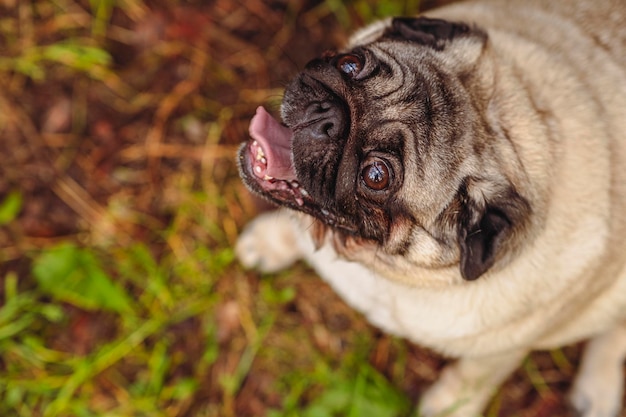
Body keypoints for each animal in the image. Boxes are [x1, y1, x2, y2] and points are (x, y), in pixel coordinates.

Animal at [235, 0, 624, 412]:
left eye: (376, 175)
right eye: (350, 64)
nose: (329, 116)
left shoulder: (499, 350)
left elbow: (472, 377)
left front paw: (449, 406)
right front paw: (271, 242)